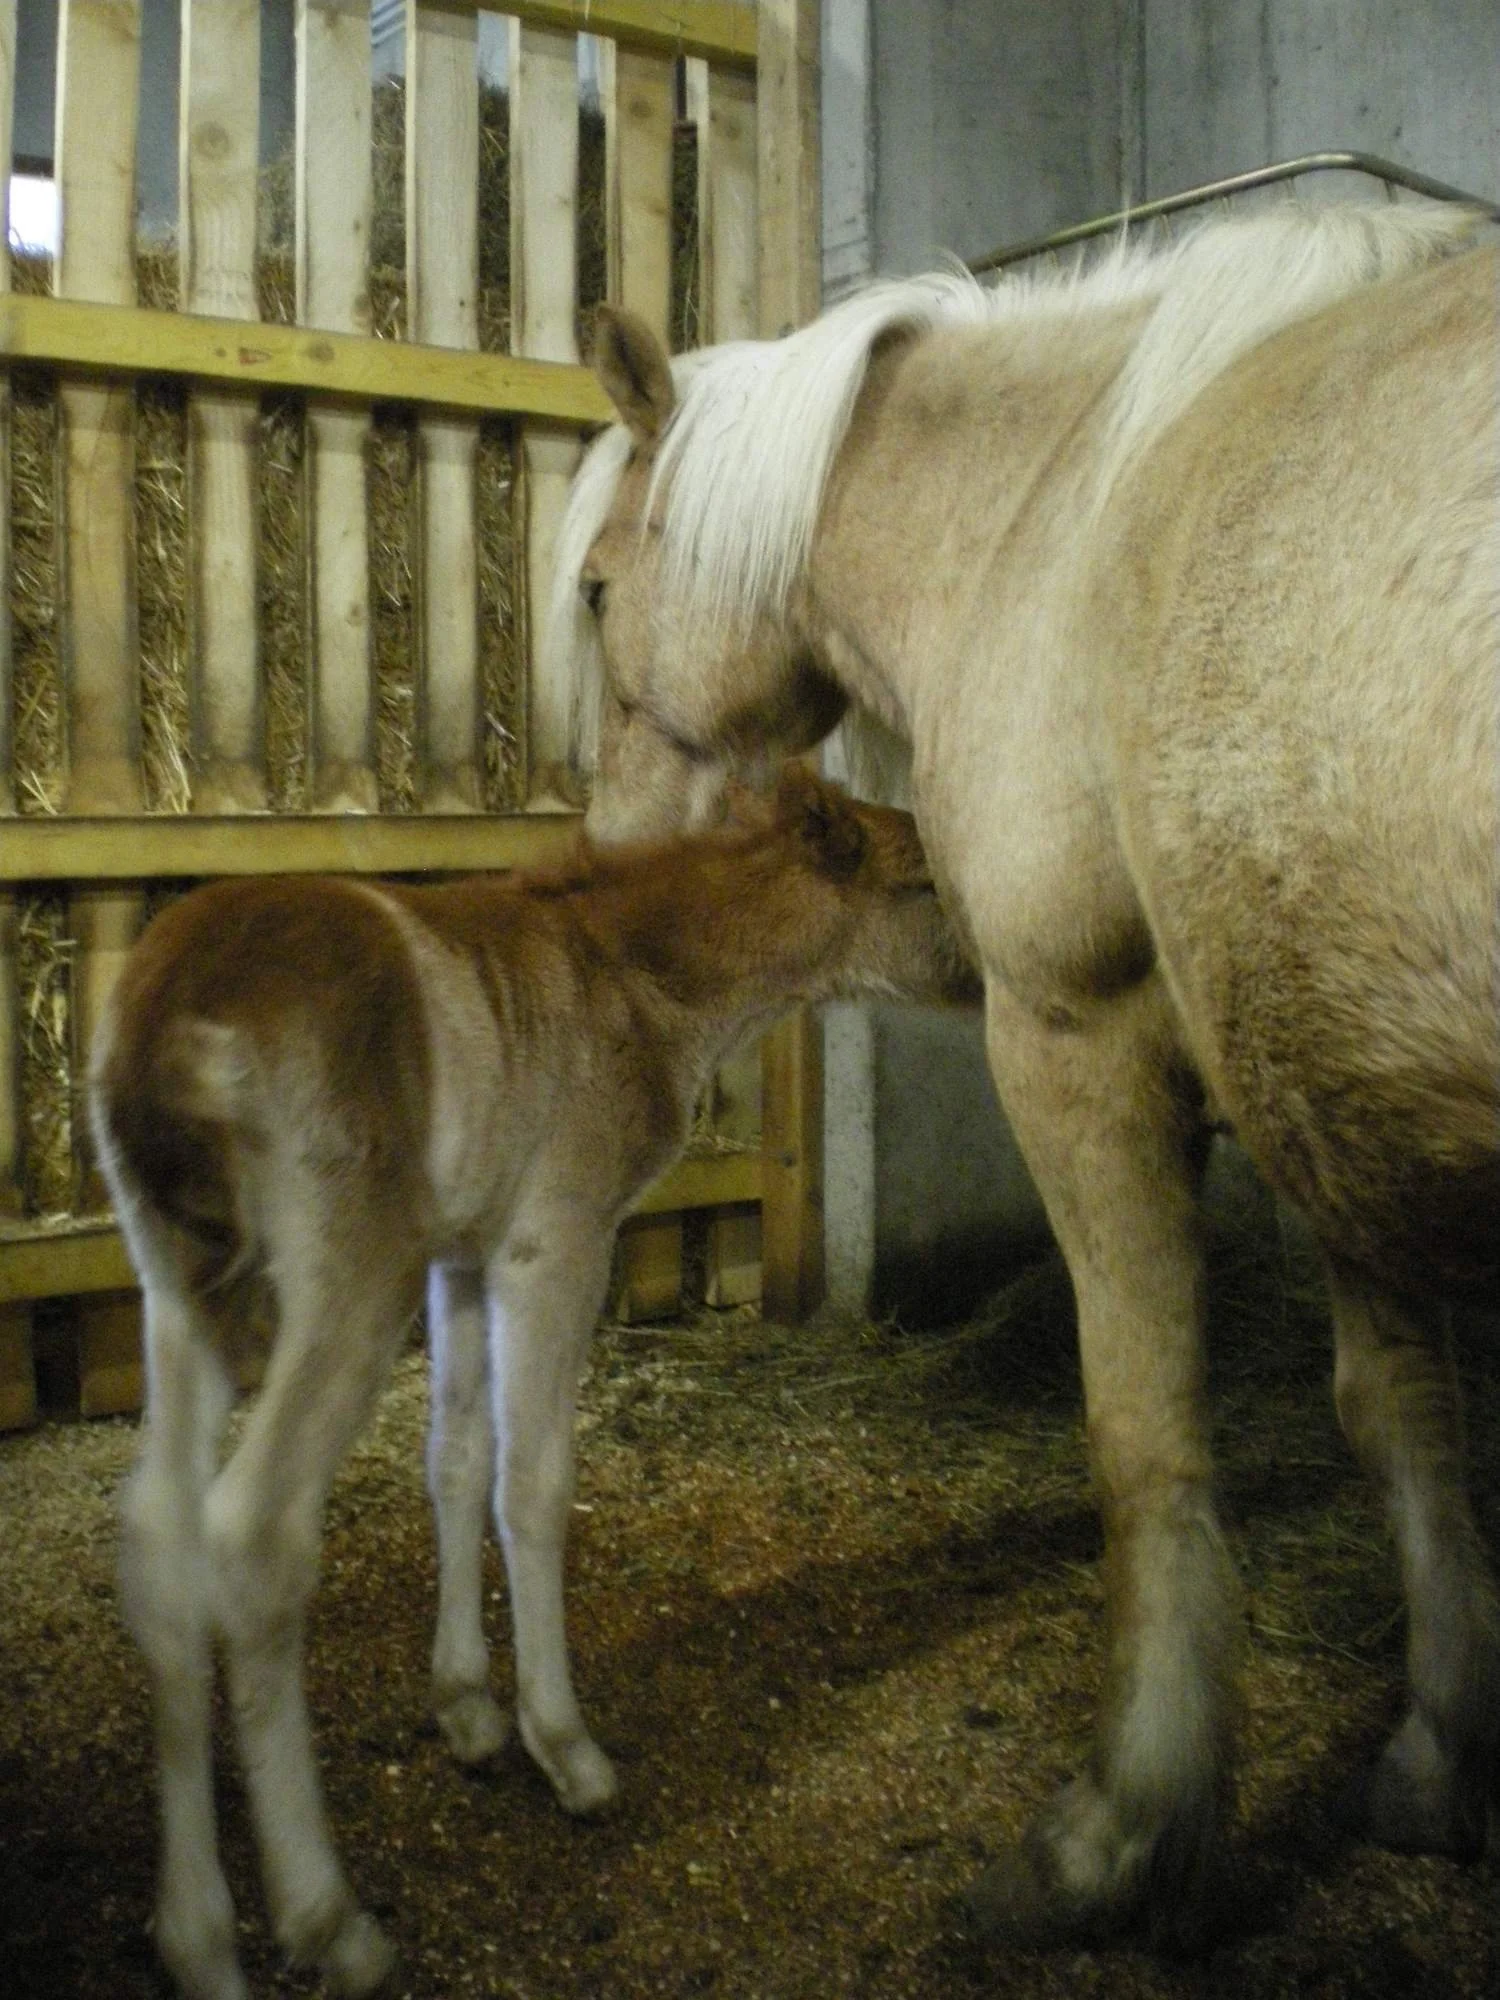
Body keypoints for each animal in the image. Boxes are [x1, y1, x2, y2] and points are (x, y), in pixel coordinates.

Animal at [91, 770, 978, 2000]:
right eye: (923, 877)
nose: (996, 980)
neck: (632, 979)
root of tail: (172, 1020)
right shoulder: (553, 1241)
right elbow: (536, 1480)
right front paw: (564, 1748)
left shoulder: (461, 1253)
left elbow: (457, 1459)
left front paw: (467, 1708)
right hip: (343, 1279)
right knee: (253, 1534)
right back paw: (328, 1918)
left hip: (181, 1288)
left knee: (158, 1538)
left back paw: (199, 1939)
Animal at [549, 200, 1500, 1948]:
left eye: (594, 591)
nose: (614, 858)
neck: (1048, 517)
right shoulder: (1318, 1062)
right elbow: (1399, 1415)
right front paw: (1437, 1753)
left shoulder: (1078, 1032)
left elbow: (1143, 1436)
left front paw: (1123, 1827)